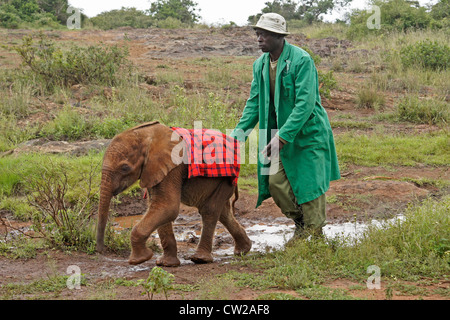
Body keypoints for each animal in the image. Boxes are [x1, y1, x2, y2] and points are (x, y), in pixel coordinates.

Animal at [95, 121, 251, 266]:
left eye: (125, 168)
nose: (100, 250)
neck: (146, 135)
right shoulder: (155, 169)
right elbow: (160, 208)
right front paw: (166, 264)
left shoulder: (172, 166)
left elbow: (167, 206)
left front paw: (139, 260)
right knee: (223, 212)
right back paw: (243, 250)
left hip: (225, 177)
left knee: (209, 210)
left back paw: (201, 259)